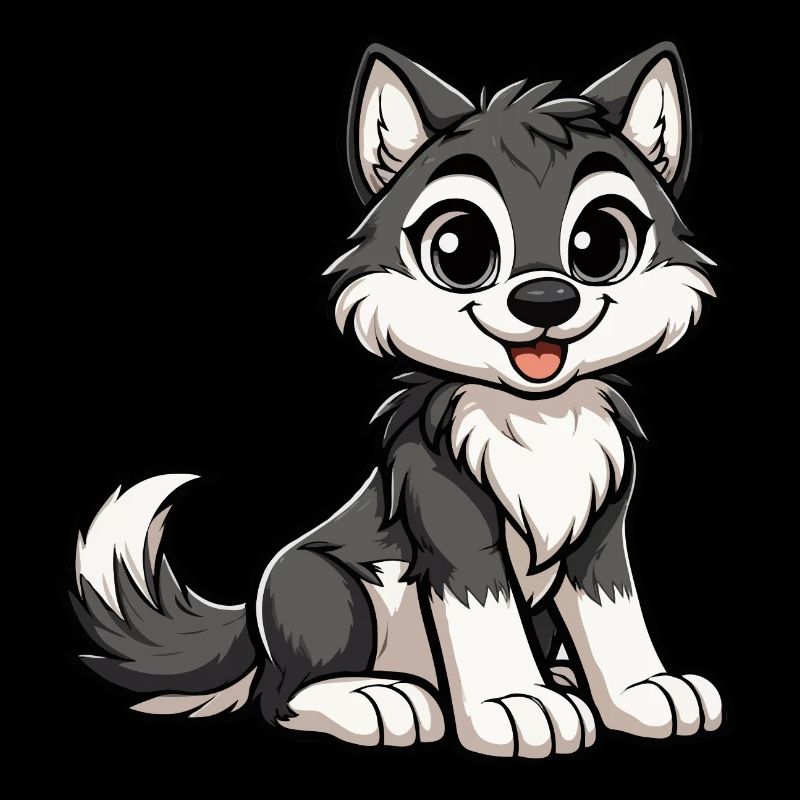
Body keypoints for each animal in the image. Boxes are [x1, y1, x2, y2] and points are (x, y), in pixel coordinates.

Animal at [72, 43, 722, 757]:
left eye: (600, 243)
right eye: (459, 248)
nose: (546, 300)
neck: (534, 417)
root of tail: (253, 627)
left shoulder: (599, 533)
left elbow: (614, 614)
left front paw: (641, 693)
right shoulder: (452, 523)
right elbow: (486, 614)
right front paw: (514, 705)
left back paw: (556, 676)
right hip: (321, 586)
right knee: (282, 698)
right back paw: (380, 699)